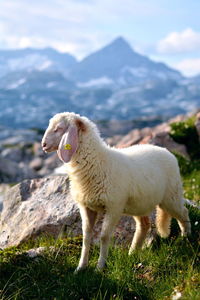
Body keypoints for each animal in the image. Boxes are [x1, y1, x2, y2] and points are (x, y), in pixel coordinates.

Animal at [41, 112, 191, 272]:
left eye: (58, 128)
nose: (43, 145)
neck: (97, 162)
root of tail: (167, 151)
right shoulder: (86, 207)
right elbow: (86, 237)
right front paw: (81, 267)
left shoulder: (113, 206)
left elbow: (104, 236)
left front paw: (100, 267)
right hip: (140, 203)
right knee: (144, 225)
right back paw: (133, 252)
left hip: (171, 196)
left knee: (183, 212)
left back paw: (186, 238)